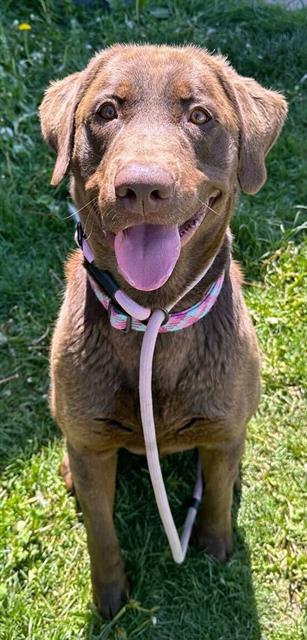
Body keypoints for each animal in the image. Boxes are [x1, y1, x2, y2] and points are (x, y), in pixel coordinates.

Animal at [39, 43, 288, 616]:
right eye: (106, 111)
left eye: (199, 116)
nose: (142, 186)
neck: (152, 312)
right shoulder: (92, 448)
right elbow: (101, 532)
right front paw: (110, 597)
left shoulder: (221, 430)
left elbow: (214, 494)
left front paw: (216, 548)